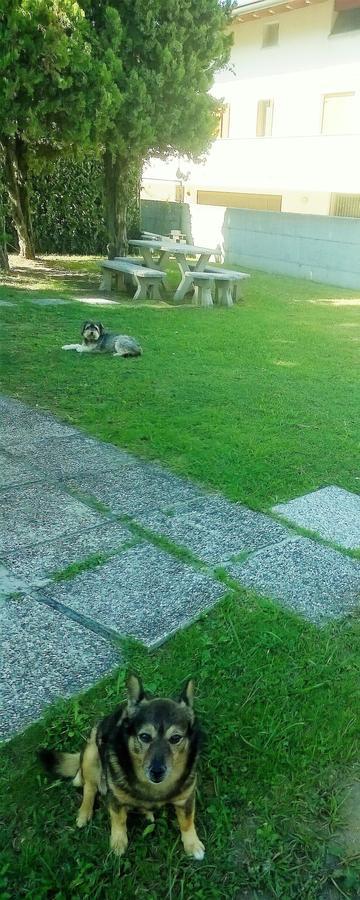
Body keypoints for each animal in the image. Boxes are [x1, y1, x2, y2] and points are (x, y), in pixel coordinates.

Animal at [38, 676, 205, 856]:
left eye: (175, 738)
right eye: (144, 737)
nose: (157, 772)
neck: (154, 788)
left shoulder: (185, 799)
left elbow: (187, 821)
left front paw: (193, 844)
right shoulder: (116, 799)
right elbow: (118, 819)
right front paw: (118, 842)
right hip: (91, 754)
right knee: (89, 787)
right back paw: (84, 813)